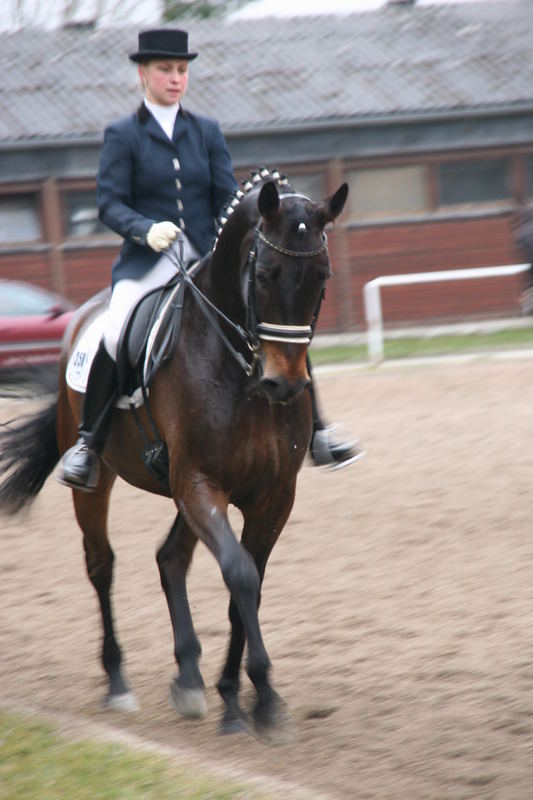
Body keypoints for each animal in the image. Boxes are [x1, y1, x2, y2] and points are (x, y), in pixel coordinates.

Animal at [0, 172, 348, 740]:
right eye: (266, 274)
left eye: (323, 275)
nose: (285, 385)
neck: (241, 368)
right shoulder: (200, 483)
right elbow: (240, 574)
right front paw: (260, 694)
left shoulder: (271, 496)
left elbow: (246, 586)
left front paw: (238, 696)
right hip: (105, 482)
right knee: (101, 564)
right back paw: (118, 683)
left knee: (170, 559)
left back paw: (188, 677)